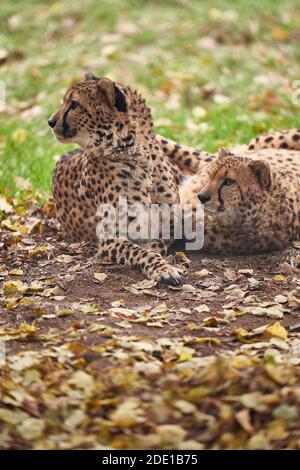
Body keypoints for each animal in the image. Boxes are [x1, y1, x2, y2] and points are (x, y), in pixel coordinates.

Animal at [48, 73, 184, 282]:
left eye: (74, 104)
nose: (50, 122)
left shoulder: (169, 226)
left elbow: (156, 244)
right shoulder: (110, 239)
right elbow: (143, 252)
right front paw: (164, 269)